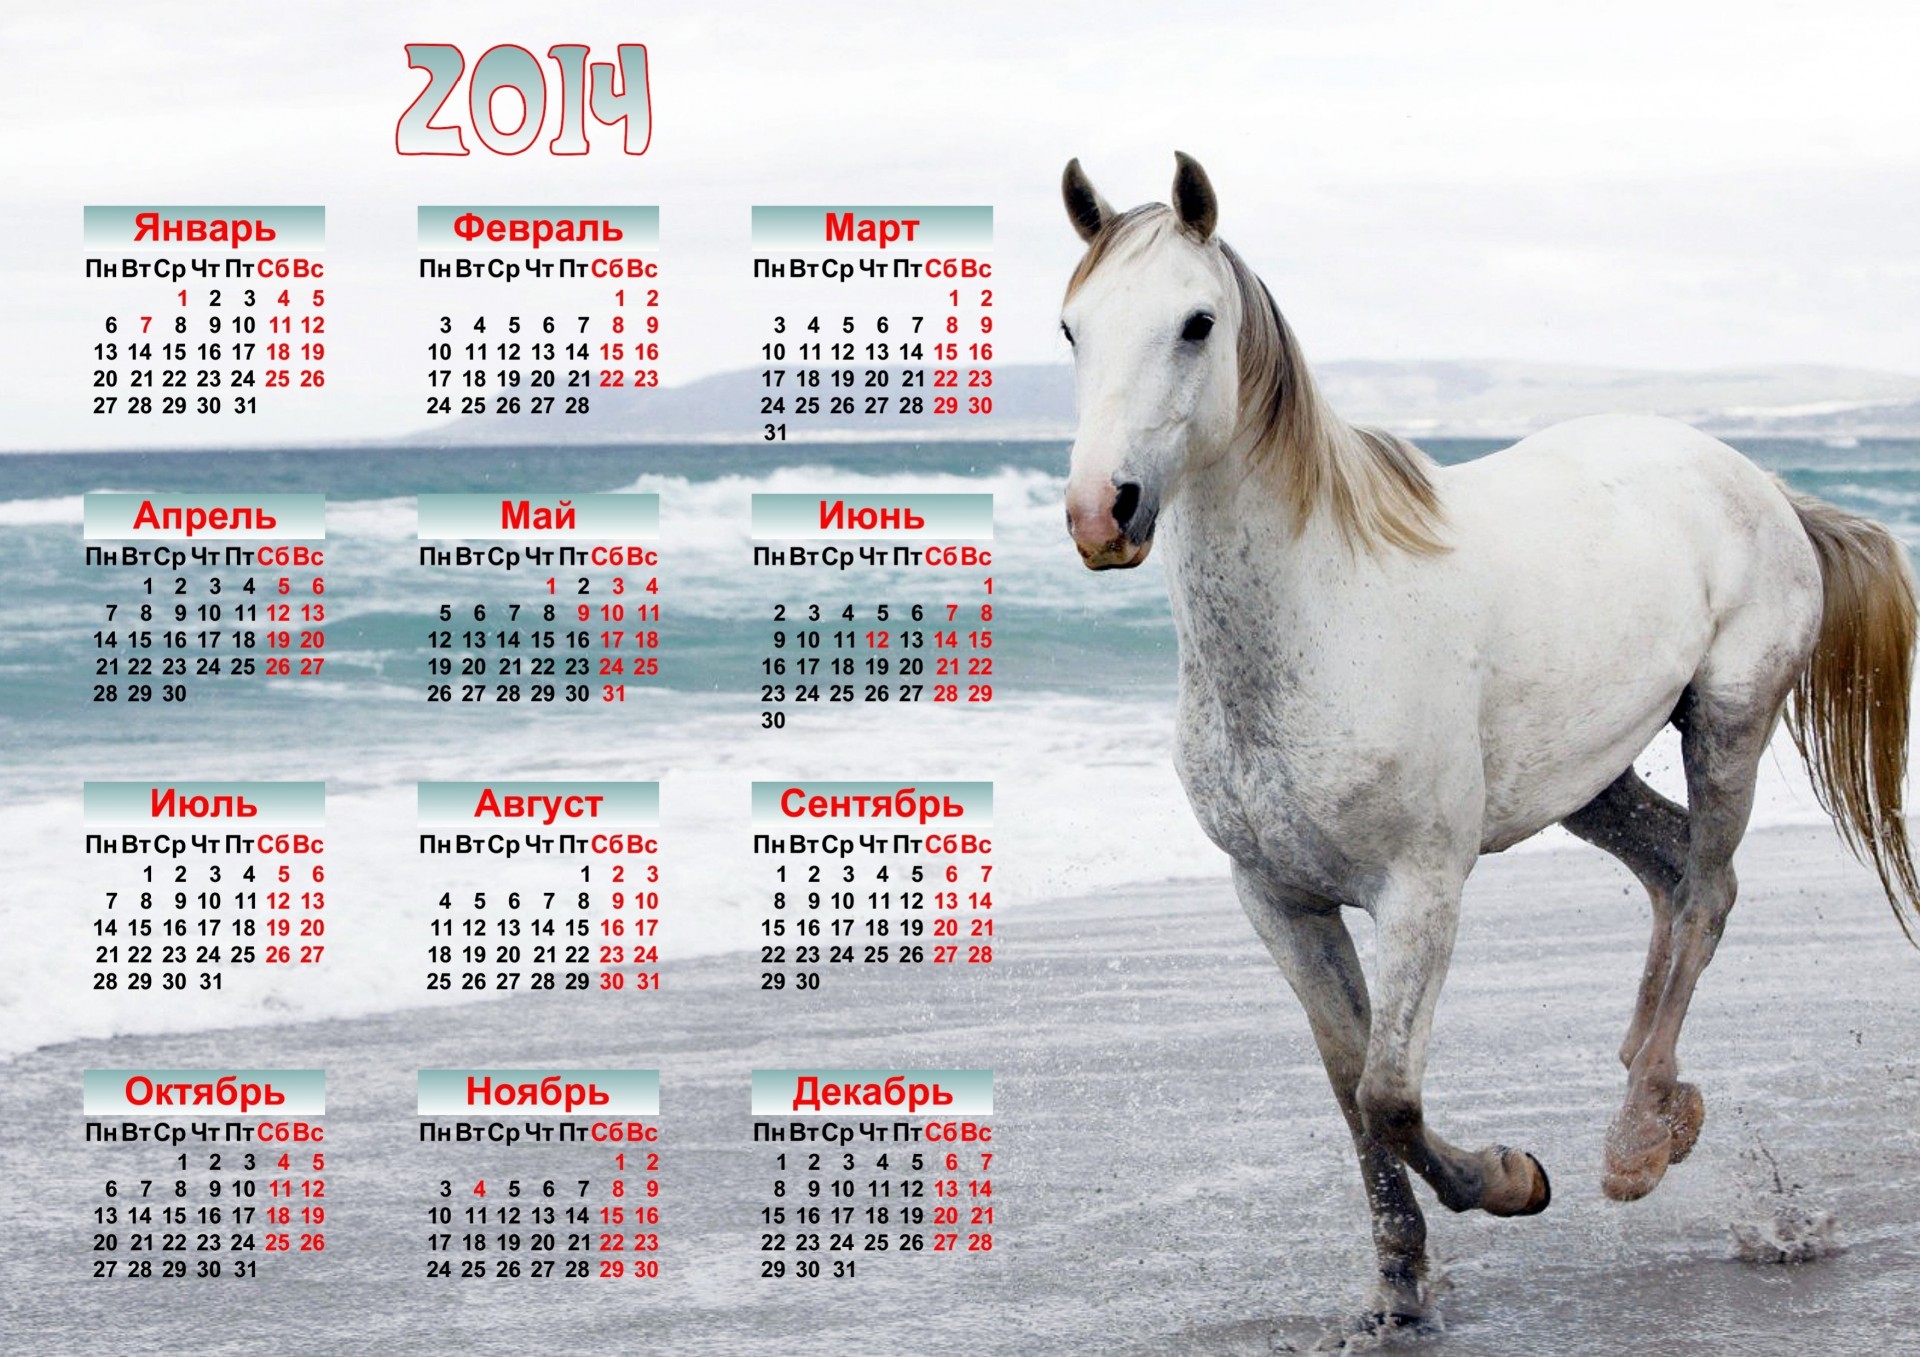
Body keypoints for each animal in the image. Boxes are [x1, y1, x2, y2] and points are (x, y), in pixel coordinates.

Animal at [1058, 152, 1920, 1329]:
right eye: (1071, 328)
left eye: (1196, 322)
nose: (1104, 511)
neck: (1323, 612)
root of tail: (1760, 482)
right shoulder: (1278, 899)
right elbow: (1351, 1089)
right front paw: (1398, 1287)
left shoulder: (1422, 888)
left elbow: (1389, 1092)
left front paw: (1515, 1180)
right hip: (1589, 777)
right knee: (1672, 869)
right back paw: (1657, 1096)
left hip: (1728, 723)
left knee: (1707, 889)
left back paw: (1636, 1140)